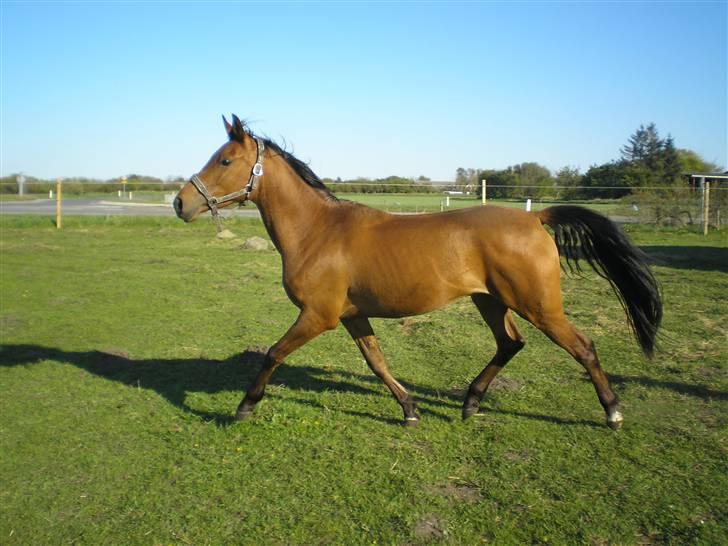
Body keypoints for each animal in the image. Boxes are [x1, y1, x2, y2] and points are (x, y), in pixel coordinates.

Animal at [173, 116, 664, 430]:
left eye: (224, 160)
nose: (181, 203)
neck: (318, 230)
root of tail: (534, 217)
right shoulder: (352, 316)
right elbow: (377, 362)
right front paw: (410, 409)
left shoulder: (318, 316)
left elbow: (273, 354)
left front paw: (244, 407)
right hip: (491, 301)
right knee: (510, 344)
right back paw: (470, 404)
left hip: (538, 306)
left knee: (584, 347)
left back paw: (613, 412)